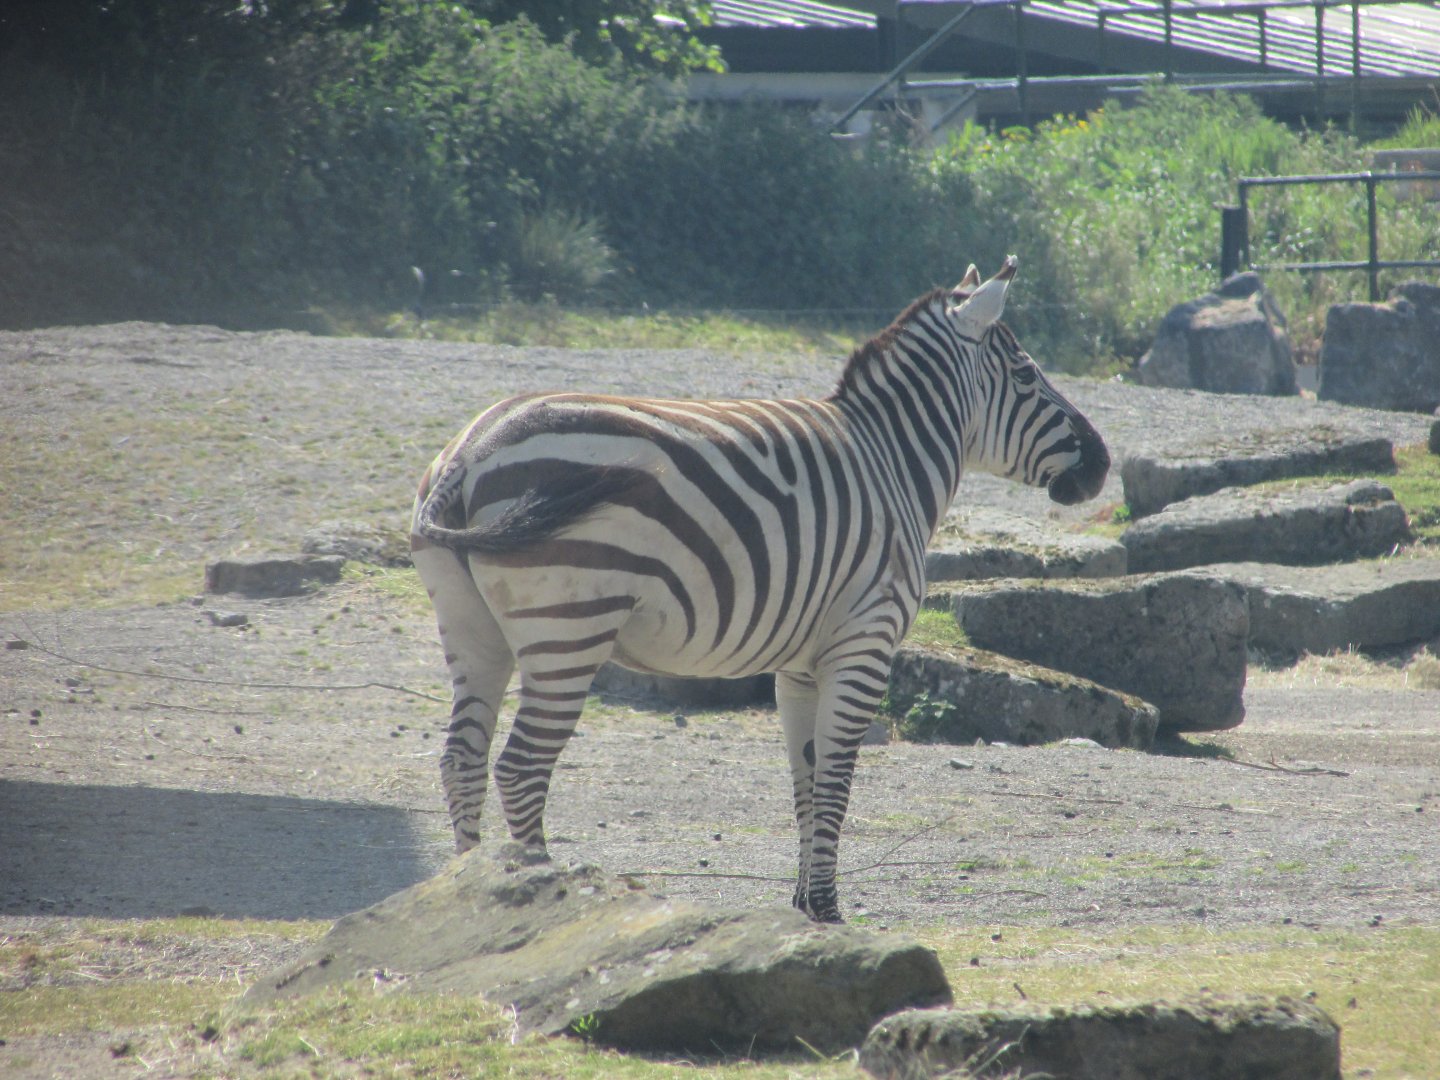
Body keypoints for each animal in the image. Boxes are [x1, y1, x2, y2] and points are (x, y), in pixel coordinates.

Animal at [409, 257, 1109, 923]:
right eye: (1027, 376)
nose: (1102, 464)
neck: (893, 461)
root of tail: (469, 452)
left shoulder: (800, 663)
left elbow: (806, 777)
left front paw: (804, 903)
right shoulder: (865, 640)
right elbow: (836, 780)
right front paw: (828, 908)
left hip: (472, 630)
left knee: (462, 760)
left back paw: (469, 898)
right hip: (569, 626)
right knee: (520, 769)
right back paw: (539, 889)